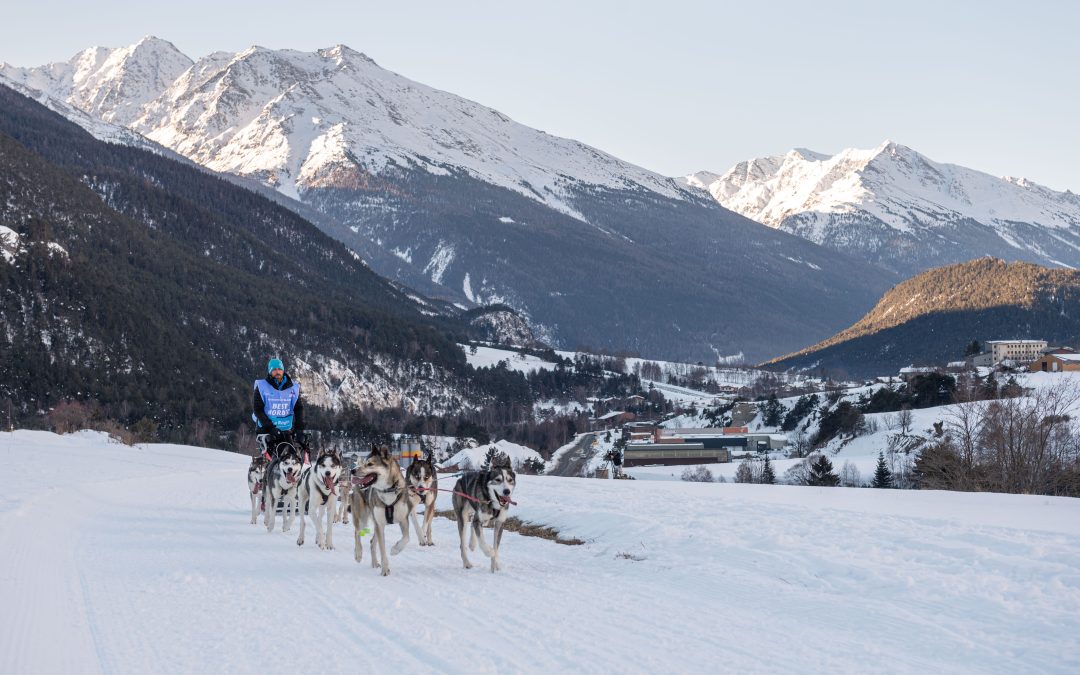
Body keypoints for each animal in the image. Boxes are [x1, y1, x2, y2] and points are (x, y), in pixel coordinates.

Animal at [347, 444, 410, 574]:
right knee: (357, 532)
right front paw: (385, 570)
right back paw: (358, 553)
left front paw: (395, 550)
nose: (353, 470)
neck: (388, 490)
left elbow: (406, 538)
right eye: (365, 462)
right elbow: (382, 550)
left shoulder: (403, 520)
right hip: (362, 519)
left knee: (372, 542)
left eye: (370, 464)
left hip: (375, 523)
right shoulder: (380, 525)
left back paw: (375, 563)